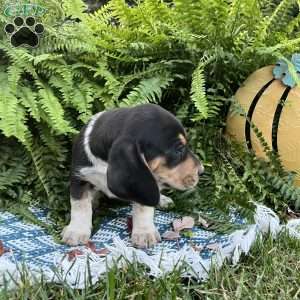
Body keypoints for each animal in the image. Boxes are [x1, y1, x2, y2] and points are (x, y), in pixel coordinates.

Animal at [62, 103, 204, 248]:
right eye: (178, 149)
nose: (201, 170)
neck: (106, 163)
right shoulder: (79, 178)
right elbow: (80, 206)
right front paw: (76, 231)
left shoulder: (143, 183)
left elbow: (143, 207)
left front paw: (144, 233)